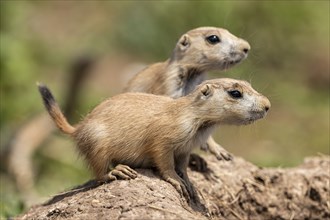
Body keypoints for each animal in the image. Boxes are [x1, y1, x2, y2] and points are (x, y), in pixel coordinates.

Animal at [38, 78, 270, 206]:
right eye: (235, 92)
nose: (268, 105)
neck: (198, 121)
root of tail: (77, 129)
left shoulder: (185, 149)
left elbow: (183, 165)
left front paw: (190, 184)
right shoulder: (165, 140)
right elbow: (165, 162)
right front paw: (177, 182)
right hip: (97, 144)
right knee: (99, 174)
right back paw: (119, 171)